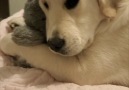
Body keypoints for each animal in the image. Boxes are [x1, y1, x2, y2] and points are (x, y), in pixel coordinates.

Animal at [0, 0, 129, 86]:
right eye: (45, 4)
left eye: (72, 2)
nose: (54, 44)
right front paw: (18, 21)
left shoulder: (83, 70)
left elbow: (37, 50)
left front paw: (5, 40)